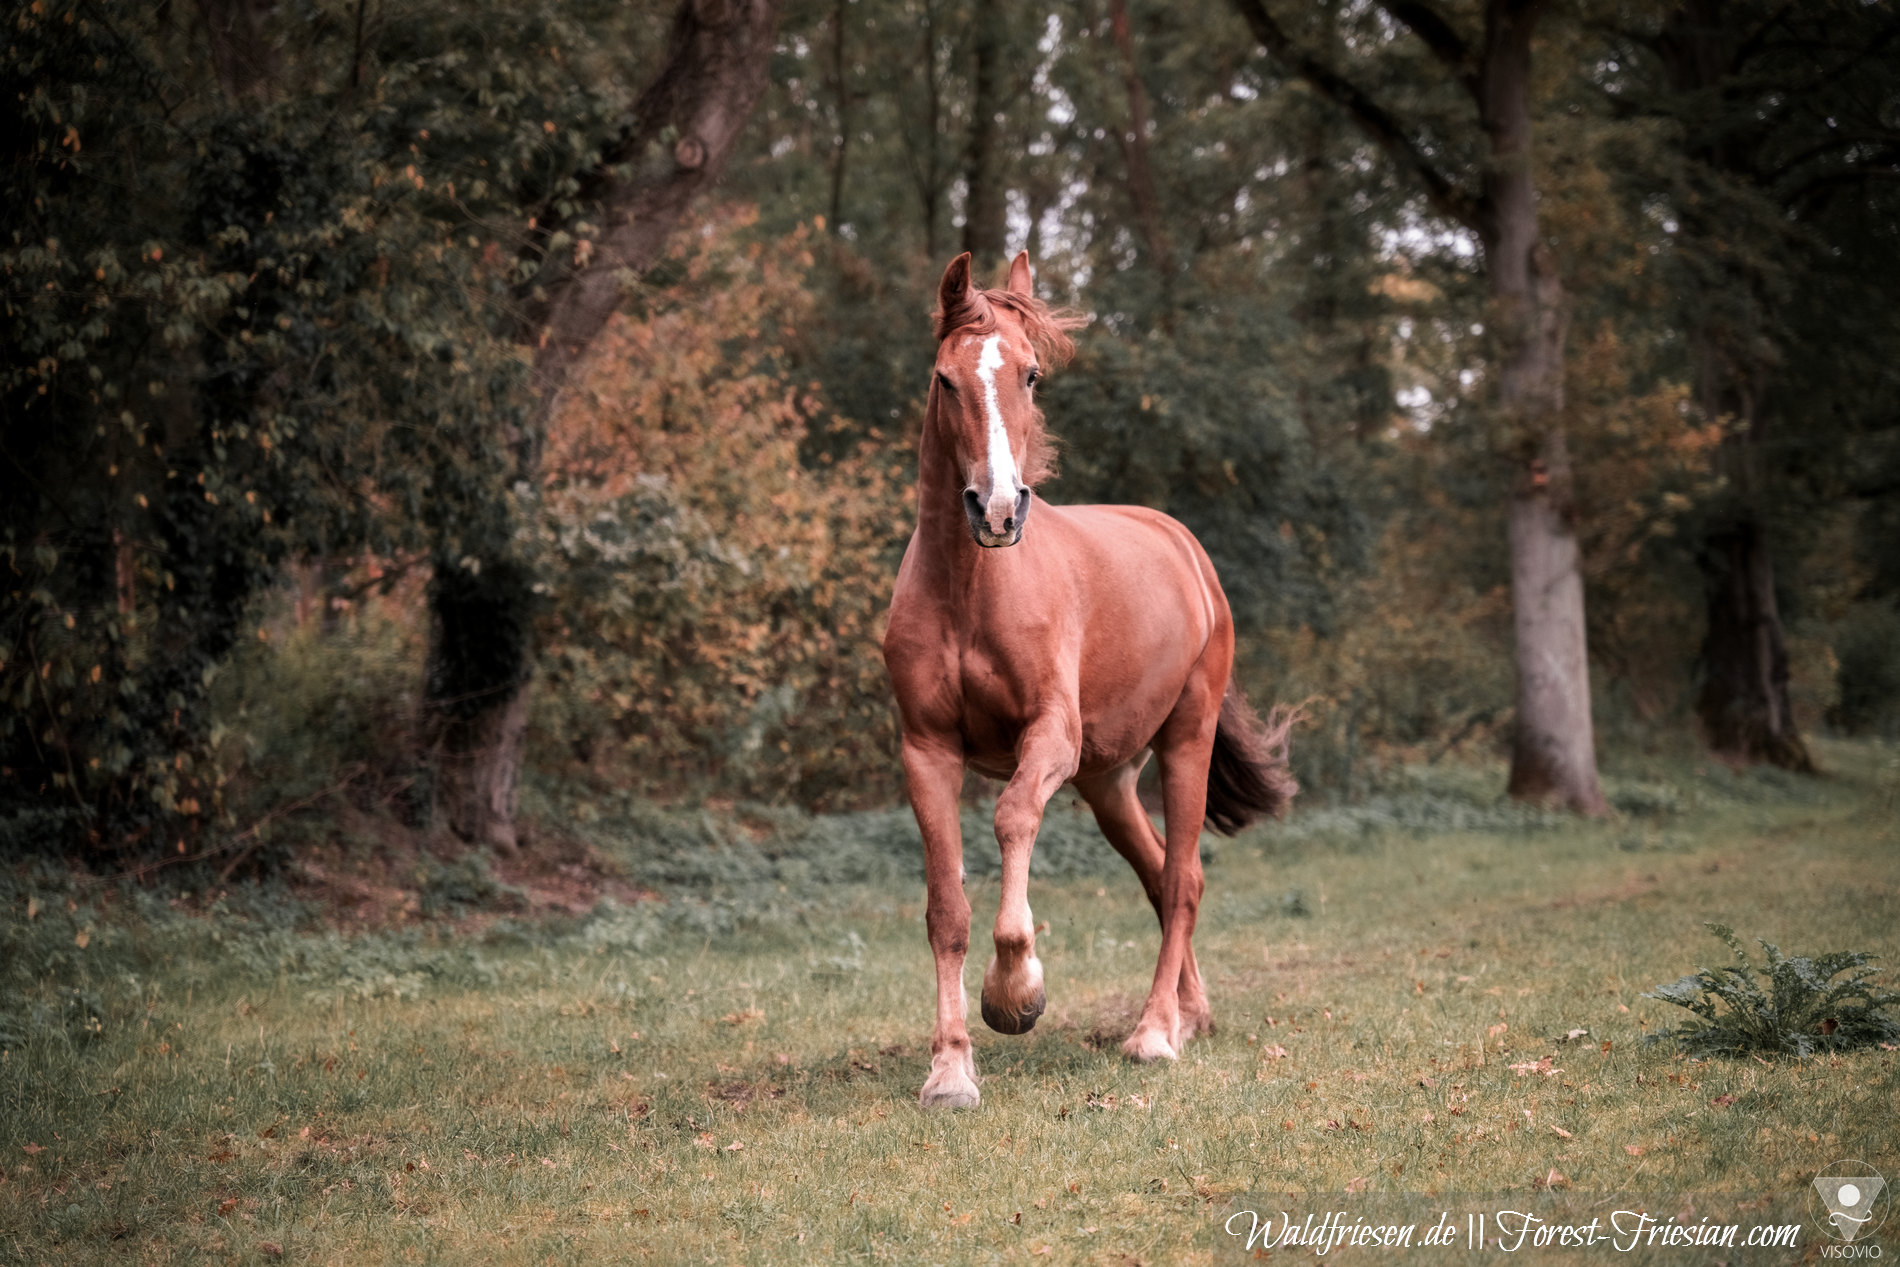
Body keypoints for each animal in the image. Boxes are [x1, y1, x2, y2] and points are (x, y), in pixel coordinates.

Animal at [881, 254, 1299, 1109]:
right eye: (945, 379)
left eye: (1031, 373)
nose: (997, 509)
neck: (972, 590)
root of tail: (1182, 545)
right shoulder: (926, 752)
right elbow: (946, 909)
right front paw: (950, 1070)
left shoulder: (1051, 738)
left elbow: (1012, 819)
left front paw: (1016, 993)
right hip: (1110, 781)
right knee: (1163, 875)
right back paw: (1187, 1015)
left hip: (1185, 740)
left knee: (1182, 879)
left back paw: (1154, 1035)